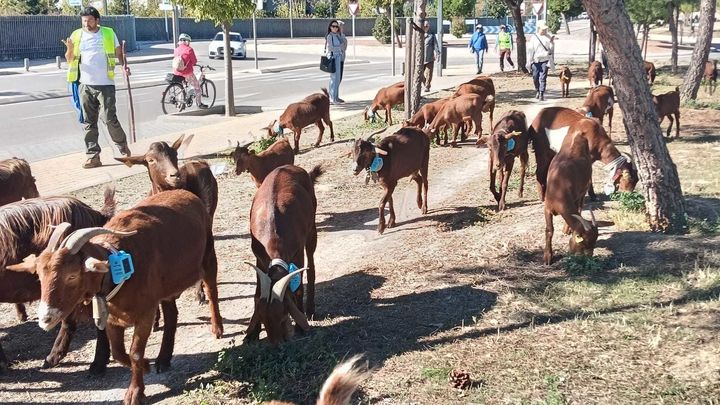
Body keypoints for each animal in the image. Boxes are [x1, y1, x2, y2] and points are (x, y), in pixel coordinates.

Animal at [244, 164, 323, 345]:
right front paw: (252, 334)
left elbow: (299, 287)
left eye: (282, 316)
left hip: (311, 230)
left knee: (312, 267)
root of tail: (291, 167)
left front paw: (301, 325)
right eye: (263, 319)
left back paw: (310, 309)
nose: (276, 344)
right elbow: (257, 292)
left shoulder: (297, 253)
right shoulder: (259, 257)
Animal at [543, 117, 600, 265]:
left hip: (583, 190)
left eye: (594, 243)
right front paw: (547, 256)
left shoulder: (574, 196)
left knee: (580, 206)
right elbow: (549, 230)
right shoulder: (547, 207)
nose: (588, 258)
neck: (559, 185)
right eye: (583, 242)